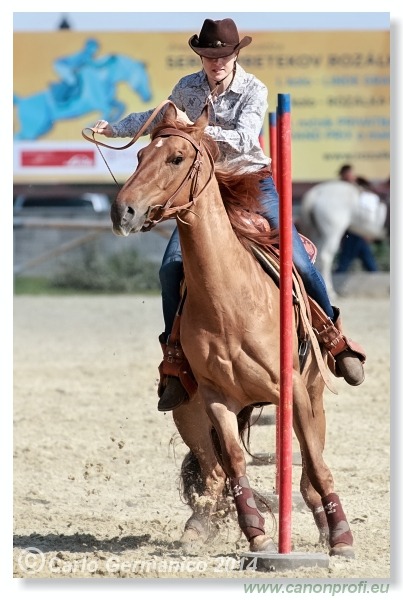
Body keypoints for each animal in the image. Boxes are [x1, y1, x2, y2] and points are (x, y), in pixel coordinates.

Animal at [14, 52, 152, 139]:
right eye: (143, 77)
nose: (148, 97)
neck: (103, 77)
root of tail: (21, 101)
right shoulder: (101, 104)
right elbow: (109, 109)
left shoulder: (108, 101)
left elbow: (121, 105)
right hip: (33, 129)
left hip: (43, 127)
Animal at [110, 103, 356, 556]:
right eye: (139, 156)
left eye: (176, 158)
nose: (123, 212)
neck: (229, 303)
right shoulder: (216, 399)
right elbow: (235, 464)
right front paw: (256, 533)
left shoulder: (295, 391)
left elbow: (315, 464)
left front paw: (342, 537)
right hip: (187, 413)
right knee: (213, 473)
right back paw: (197, 529)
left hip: (314, 395)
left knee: (308, 472)